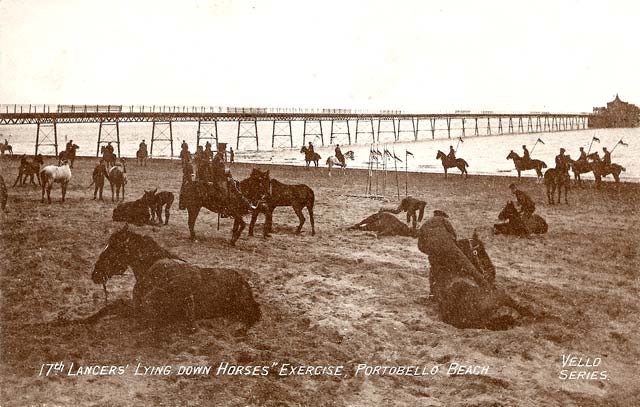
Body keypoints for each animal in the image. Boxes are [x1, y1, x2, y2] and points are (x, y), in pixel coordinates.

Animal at [86, 225, 262, 334]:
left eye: (113, 249)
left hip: (243, 306)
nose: (95, 274)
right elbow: (111, 307)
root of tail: (244, 281)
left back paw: (241, 330)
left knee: (254, 315)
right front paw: (87, 320)